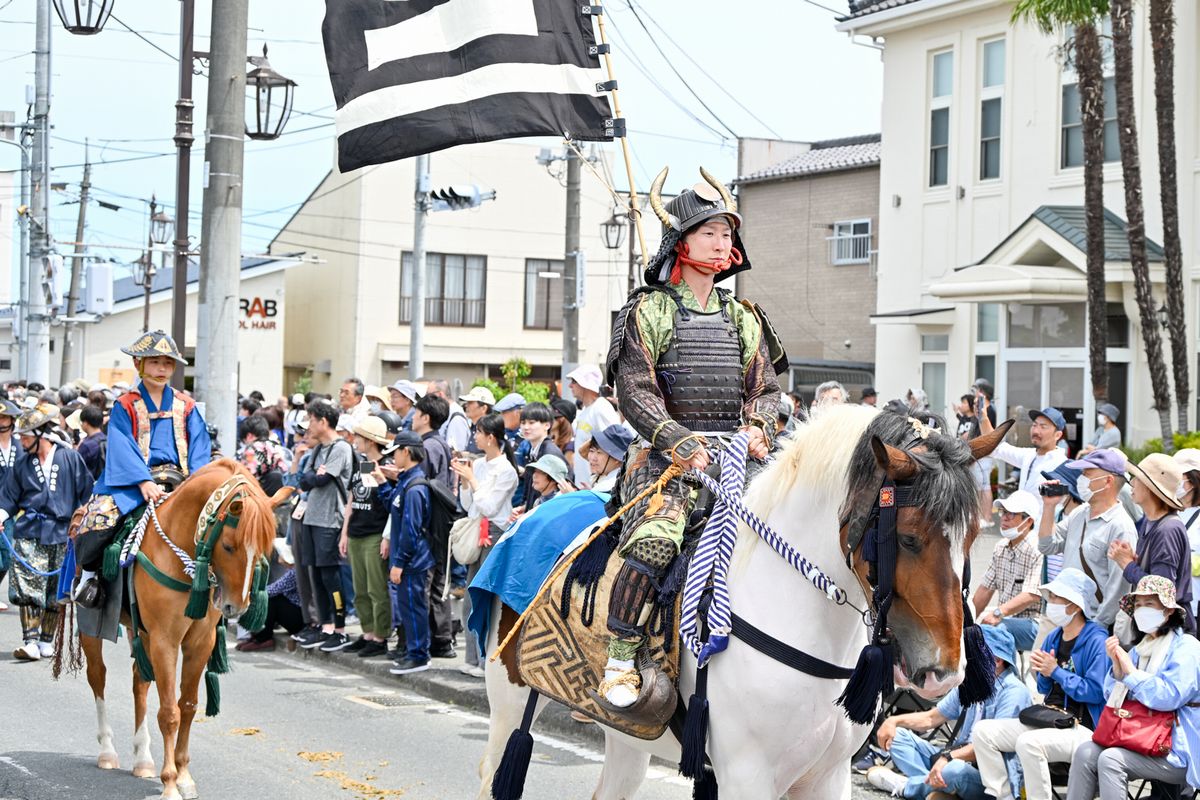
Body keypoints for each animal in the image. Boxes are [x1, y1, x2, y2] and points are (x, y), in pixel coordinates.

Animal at [76, 460, 290, 796]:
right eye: (228, 546)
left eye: (264, 550)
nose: (236, 607)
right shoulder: (165, 639)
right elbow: (169, 713)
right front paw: (169, 783)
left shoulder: (198, 640)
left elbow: (187, 706)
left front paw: (184, 776)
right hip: (91, 625)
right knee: (98, 676)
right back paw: (108, 752)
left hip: (142, 631)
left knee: (139, 681)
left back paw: (143, 758)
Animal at [472, 407, 1008, 800]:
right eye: (910, 539)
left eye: (973, 536)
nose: (944, 672)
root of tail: (526, 519)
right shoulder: (748, 776)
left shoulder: (827, 777)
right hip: (509, 698)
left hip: (626, 738)